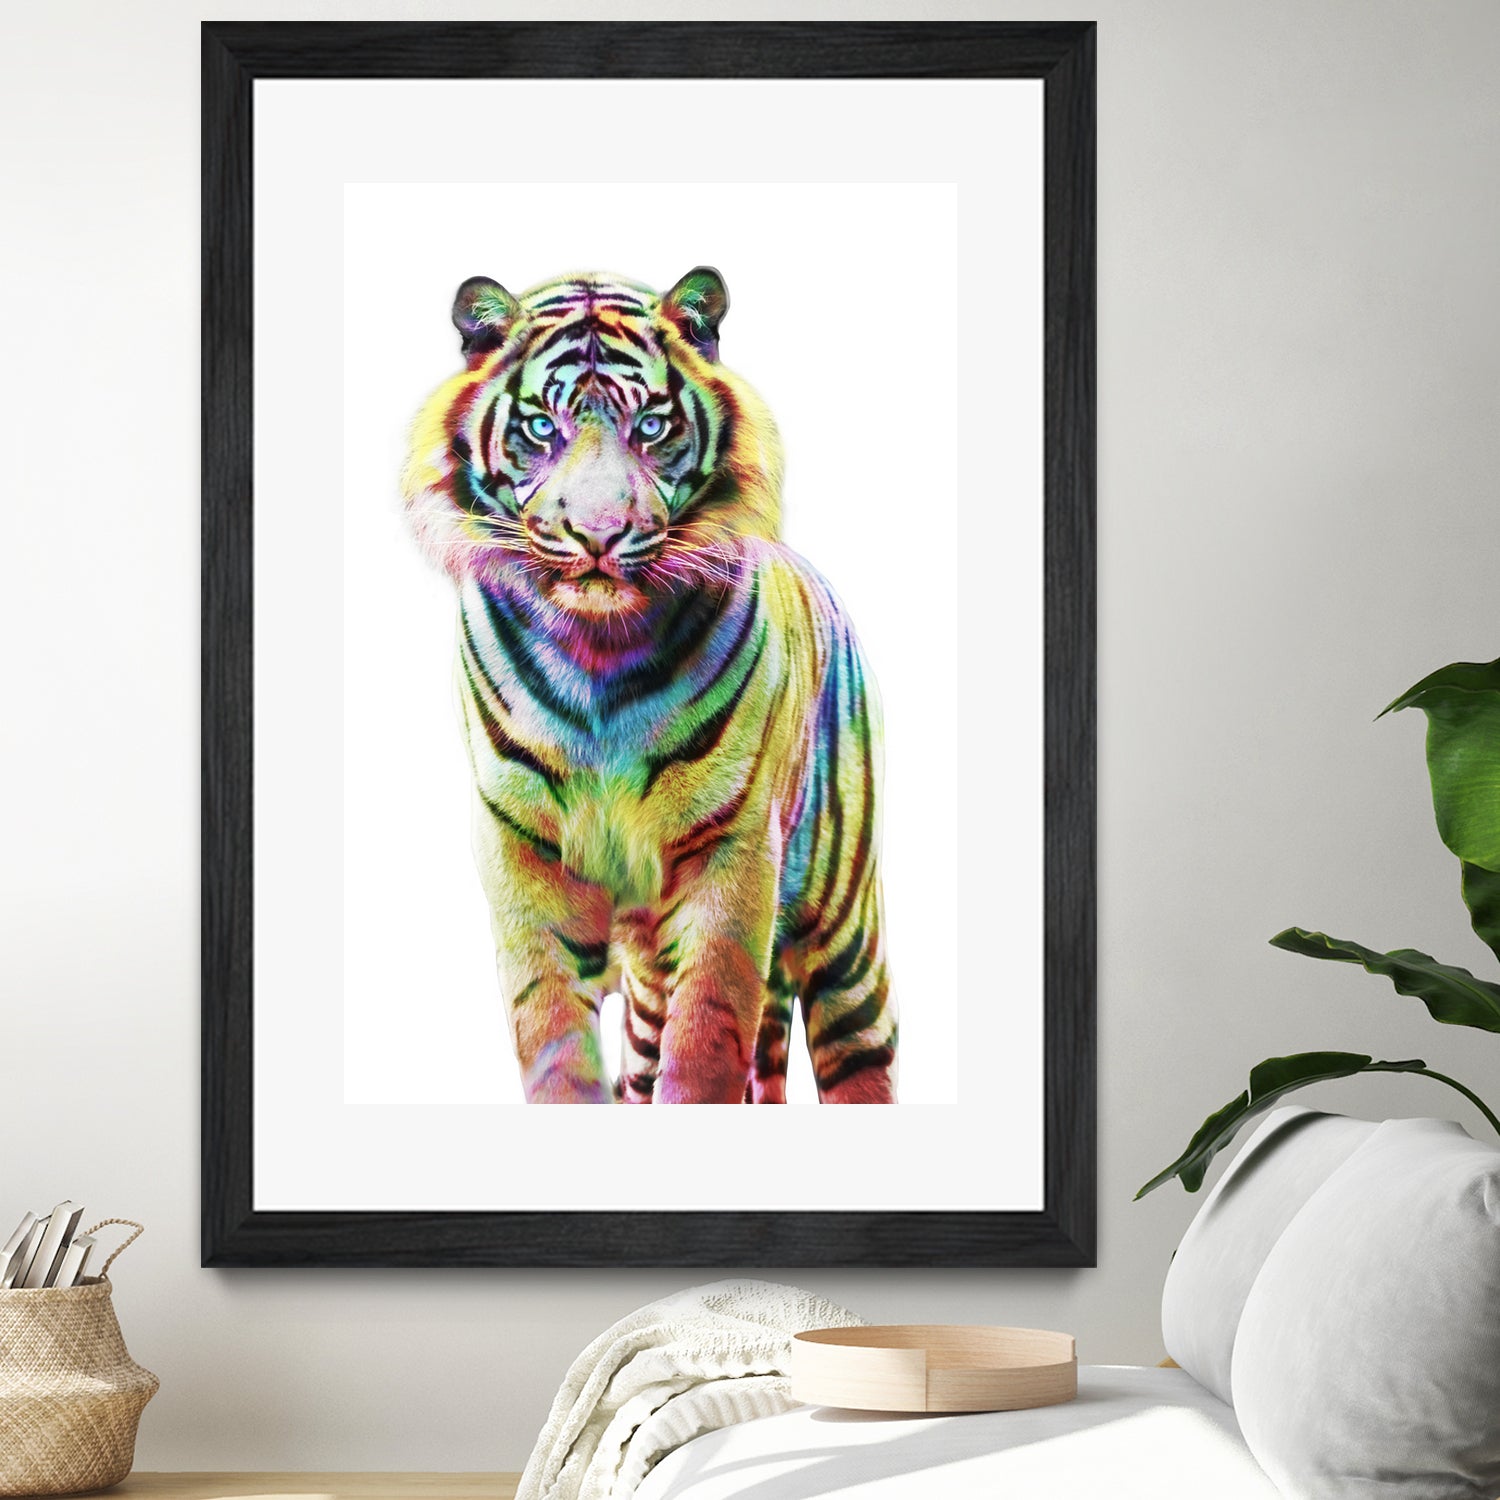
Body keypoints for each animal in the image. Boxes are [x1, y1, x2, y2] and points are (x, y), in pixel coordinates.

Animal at [401, 267, 897, 1104]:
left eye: (653, 427)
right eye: (542, 428)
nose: (598, 535)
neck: (597, 655)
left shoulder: (732, 851)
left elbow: (706, 1041)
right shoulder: (521, 850)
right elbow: (552, 1037)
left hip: (844, 936)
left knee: (860, 1054)